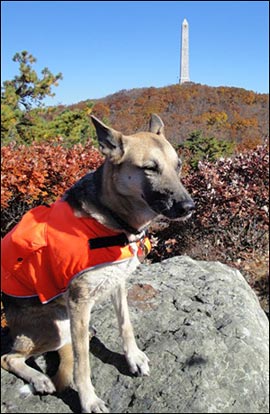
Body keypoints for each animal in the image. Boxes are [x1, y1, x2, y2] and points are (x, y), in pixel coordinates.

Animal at [0, 112, 194, 410]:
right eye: (149, 168)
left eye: (179, 165)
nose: (188, 207)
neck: (114, 219)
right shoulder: (79, 302)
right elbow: (82, 364)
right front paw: (88, 399)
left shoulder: (118, 284)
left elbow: (126, 324)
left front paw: (133, 357)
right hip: (56, 328)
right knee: (10, 357)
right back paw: (39, 378)